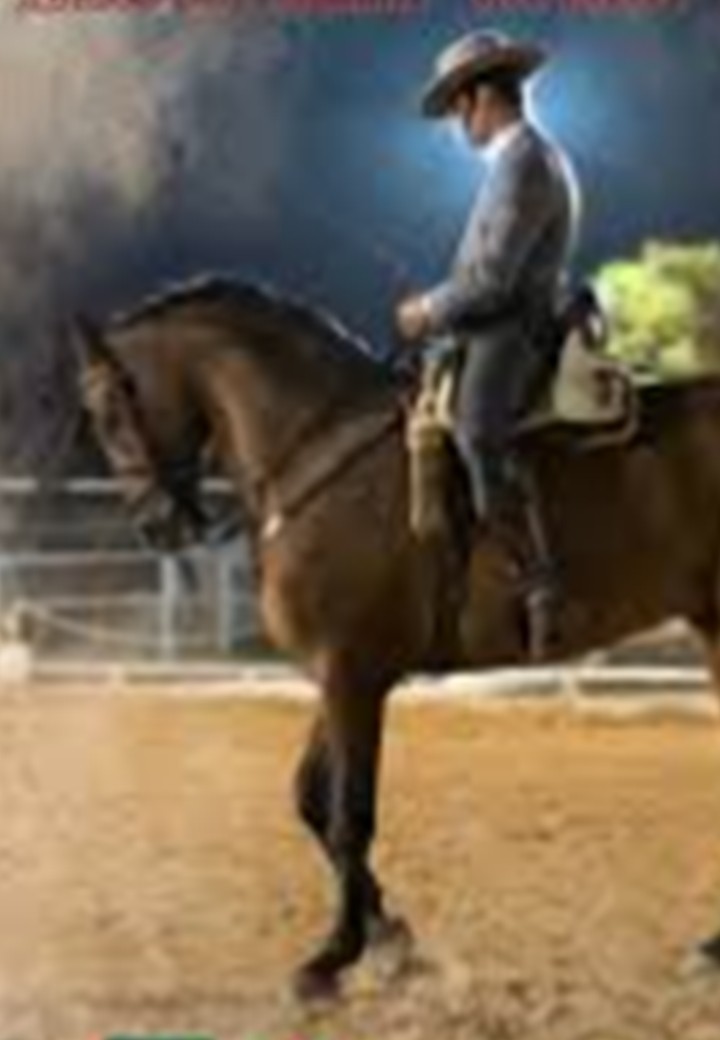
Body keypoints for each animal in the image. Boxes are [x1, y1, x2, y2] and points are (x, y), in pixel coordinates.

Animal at [71, 274, 720, 999]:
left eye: (106, 407)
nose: (157, 526)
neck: (314, 451)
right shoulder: (336, 673)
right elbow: (311, 800)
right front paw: (388, 939)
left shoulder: (353, 673)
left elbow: (350, 816)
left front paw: (334, 957)